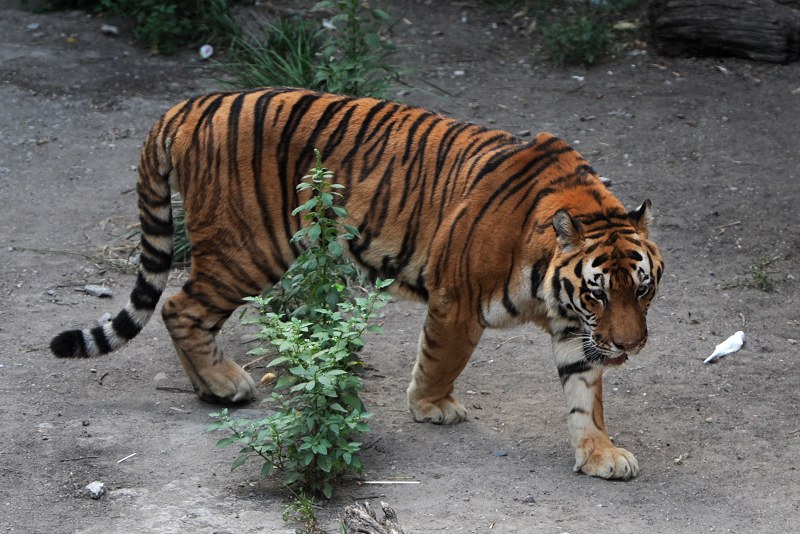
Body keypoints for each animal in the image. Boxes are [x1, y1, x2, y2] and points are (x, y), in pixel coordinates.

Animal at [51, 87, 663, 480]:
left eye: (642, 289)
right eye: (598, 292)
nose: (630, 346)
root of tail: (187, 105)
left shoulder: (575, 330)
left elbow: (585, 396)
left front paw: (600, 453)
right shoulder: (457, 300)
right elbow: (441, 359)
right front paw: (430, 406)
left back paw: (210, 385)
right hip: (247, 249)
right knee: (179, 305)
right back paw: (225, 385)